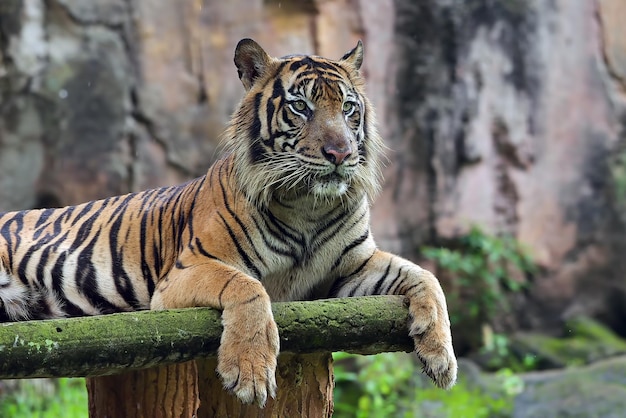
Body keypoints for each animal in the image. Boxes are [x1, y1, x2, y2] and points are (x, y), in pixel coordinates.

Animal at [0, 38, 454, 404]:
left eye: (348, 109)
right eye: (301, 107)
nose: (341, 154)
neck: (308, 205)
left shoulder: (352, 268)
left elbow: (426, 277)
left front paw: (441, 357)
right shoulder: (186, 271)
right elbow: (248, 287)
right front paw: (250, 374)